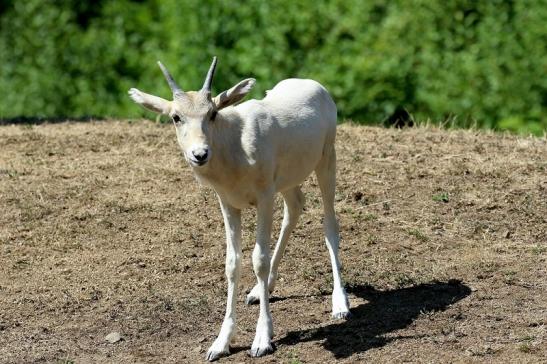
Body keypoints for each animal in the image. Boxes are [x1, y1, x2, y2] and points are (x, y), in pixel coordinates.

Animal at [129, 57, 352, 362]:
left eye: (212, 113)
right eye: (176, 117)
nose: (200, 154)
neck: (235, 143)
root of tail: (314, 85)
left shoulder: (264, 199)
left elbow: (259, 260)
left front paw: (262, 339)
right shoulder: (228, 204)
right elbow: (232, 263)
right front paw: (220, 343)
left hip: (327, 160)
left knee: (330, 223)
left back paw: (340, 304)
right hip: (287, 181)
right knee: (295, 206)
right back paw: (261, 290)